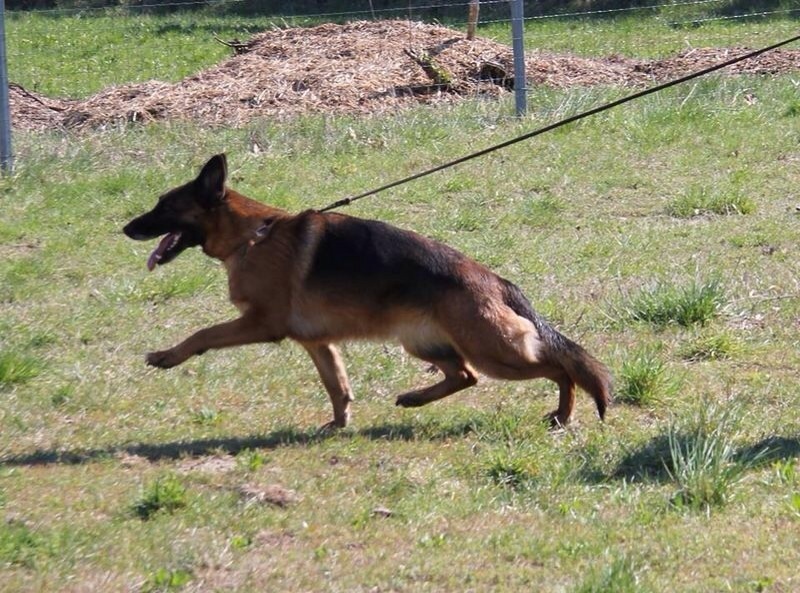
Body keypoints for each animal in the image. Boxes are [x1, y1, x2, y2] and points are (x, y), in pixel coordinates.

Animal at [123, 155, 612, 428]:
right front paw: (338, 424)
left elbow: (203, 334)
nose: (125, 228)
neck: (252, 237)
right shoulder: (318, 343)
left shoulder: (260, 323)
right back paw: (414, 398)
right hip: (423, 344)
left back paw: (563, 415)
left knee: (561, 369)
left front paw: (167, 356)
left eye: (164, 206)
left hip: (495, 353)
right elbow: (336, 385)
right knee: (465, 376)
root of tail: (498, 282)